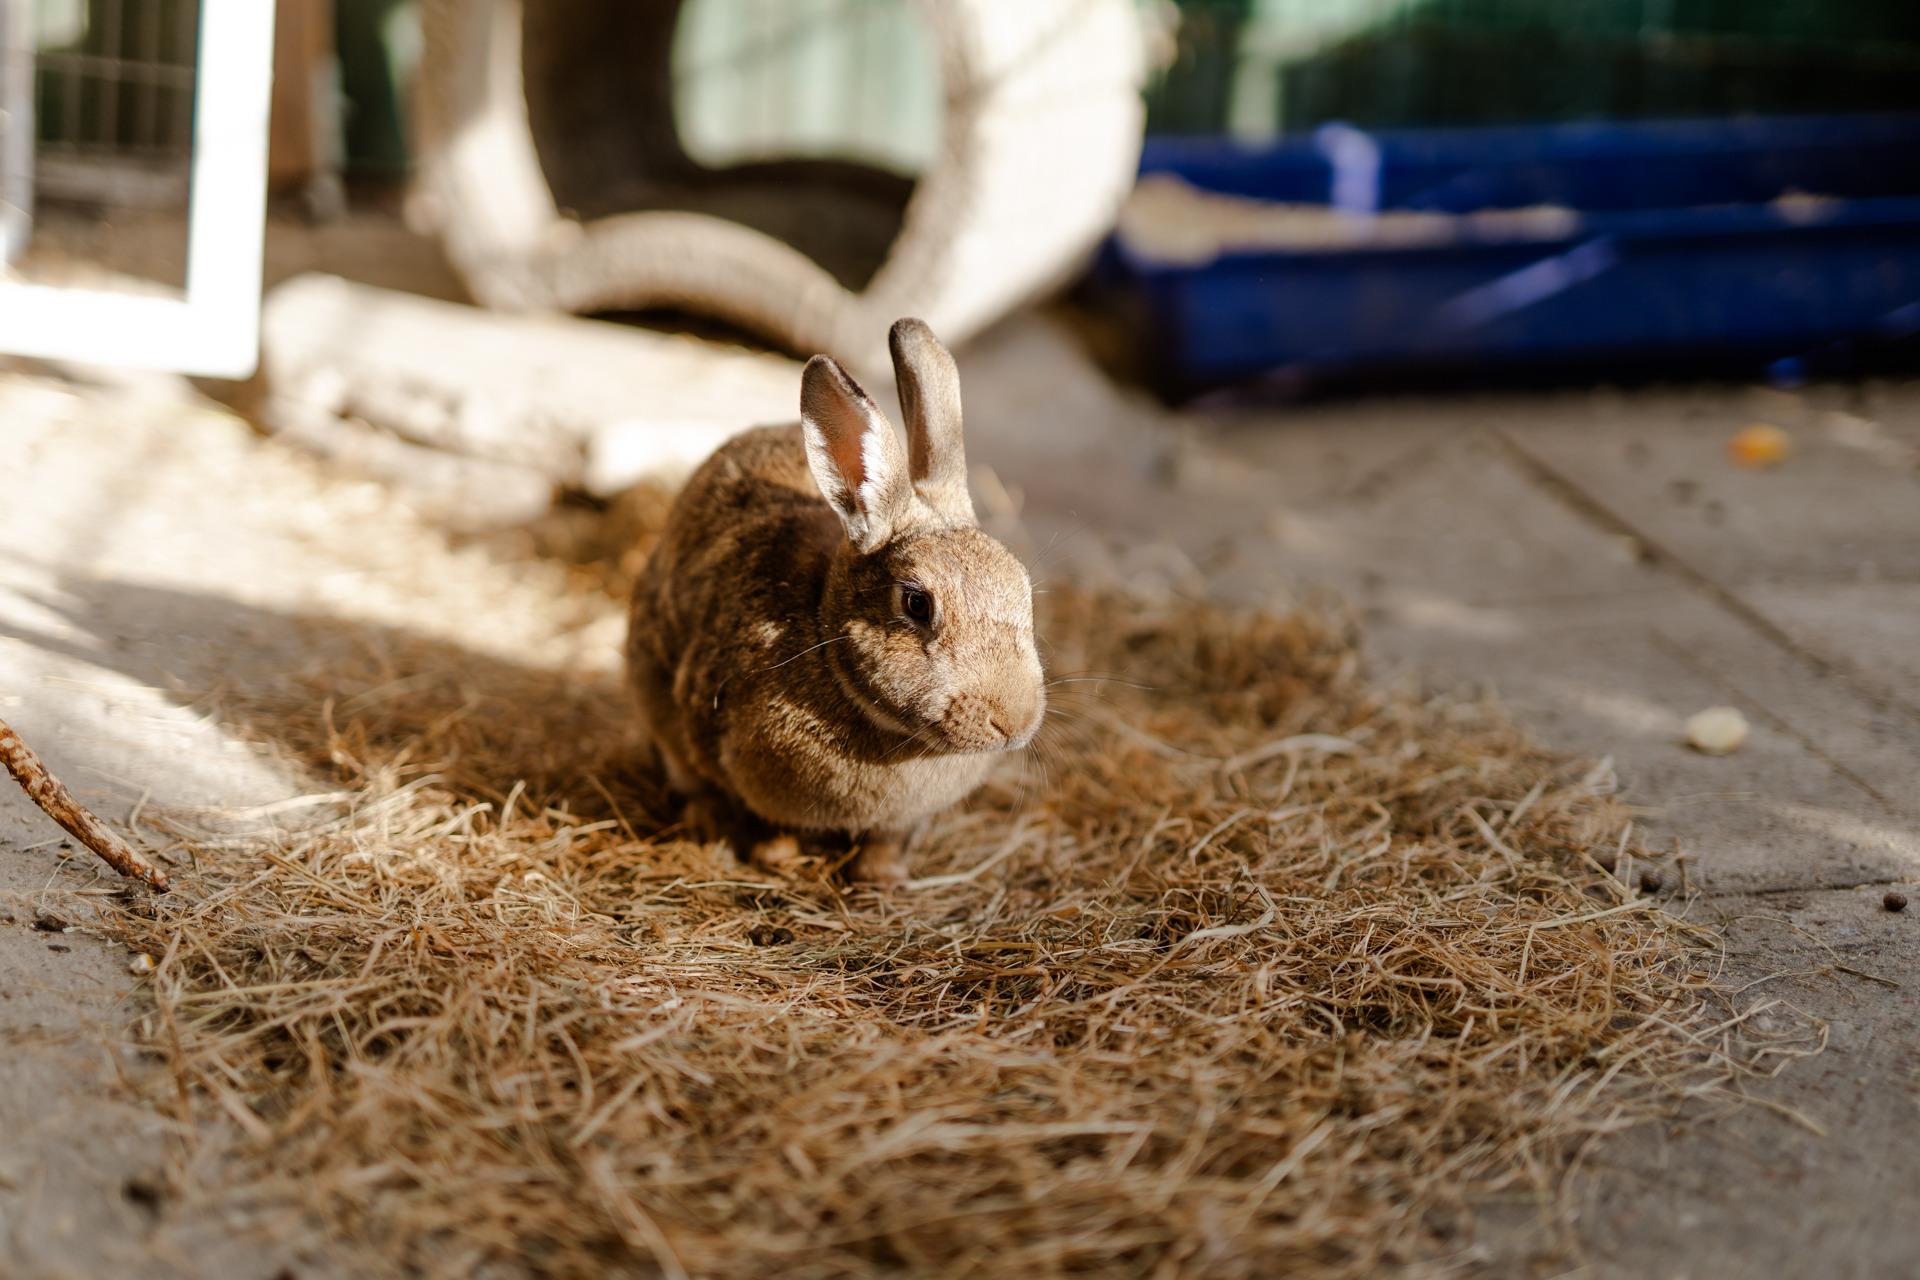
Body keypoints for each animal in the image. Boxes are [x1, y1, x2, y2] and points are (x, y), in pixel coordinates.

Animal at [626, 318, 1045, 883]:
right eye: (917, 604)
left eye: (1023, 589)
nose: (1015, 722)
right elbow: (761, 820)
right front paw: (777, 859)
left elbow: (886, 843)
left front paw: (881, 879)